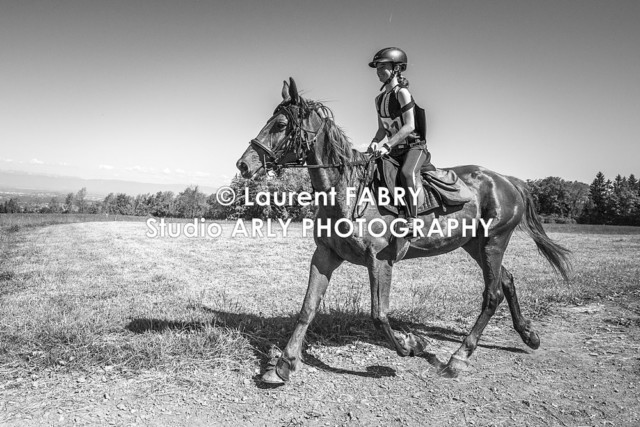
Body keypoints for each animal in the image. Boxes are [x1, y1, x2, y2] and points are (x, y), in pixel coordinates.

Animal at [235, 78, 568, 386]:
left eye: (280, 125)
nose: (243, 165)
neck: (347, 192)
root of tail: (507, 179)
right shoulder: (325, 255)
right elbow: (308, 308)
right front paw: (284, 364)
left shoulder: (380, 261)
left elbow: (379, 314)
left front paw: (412, 344)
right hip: (475, 244)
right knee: (507, 280)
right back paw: (528, 335)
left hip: (494, 241)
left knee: (493, 293)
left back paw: (459, 357)